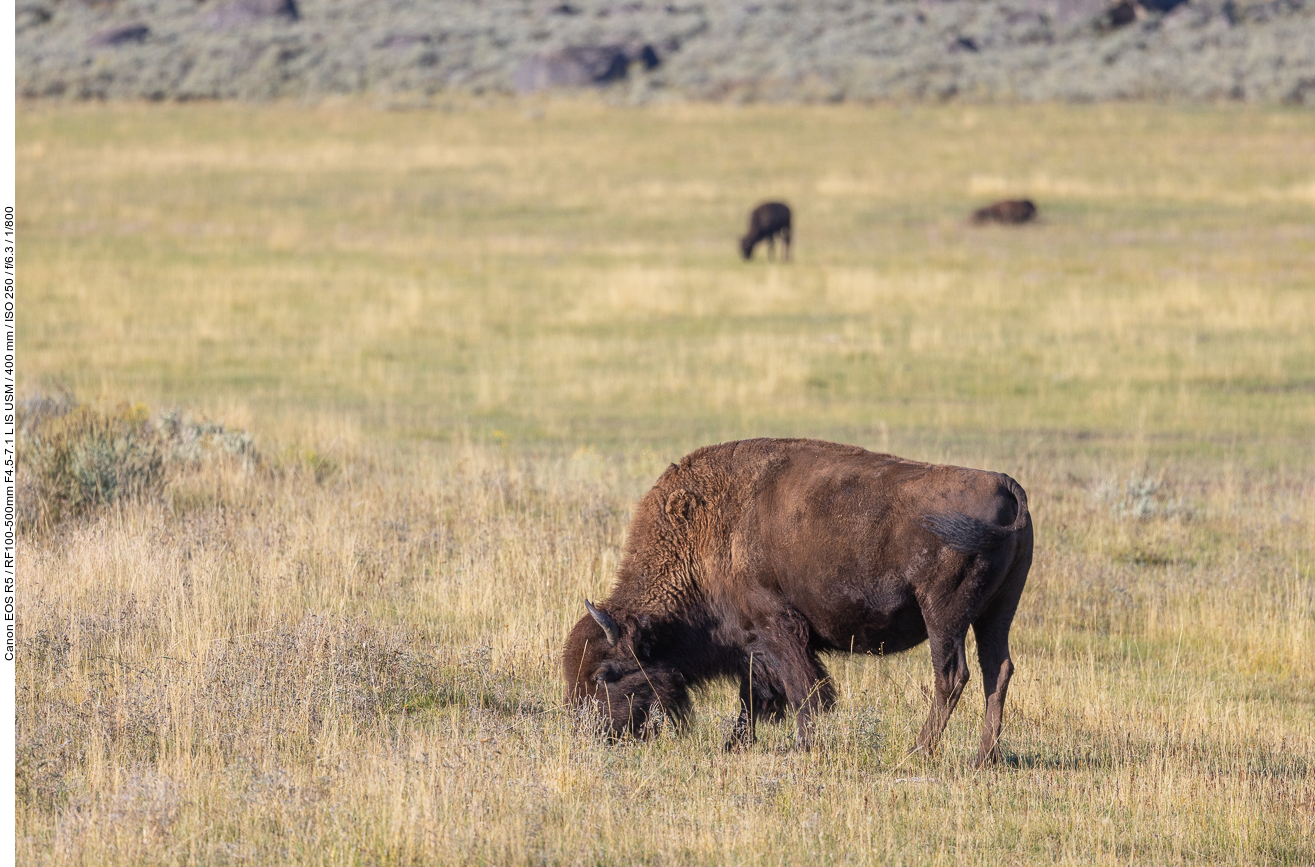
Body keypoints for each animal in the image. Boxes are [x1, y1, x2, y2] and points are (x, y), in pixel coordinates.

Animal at [565, 442, 1036, 768]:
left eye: (605, 674)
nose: (591, 734)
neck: (704, 531)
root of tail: (1003, 484)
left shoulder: (776, 628)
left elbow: (801, 689)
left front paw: (803, 745)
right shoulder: (754, 644)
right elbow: (756, 695)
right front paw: (735, 744)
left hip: (944, 615)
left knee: (952, 675)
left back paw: (918, 751)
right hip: (996, 614)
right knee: (997, 671)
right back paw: (983, 758)